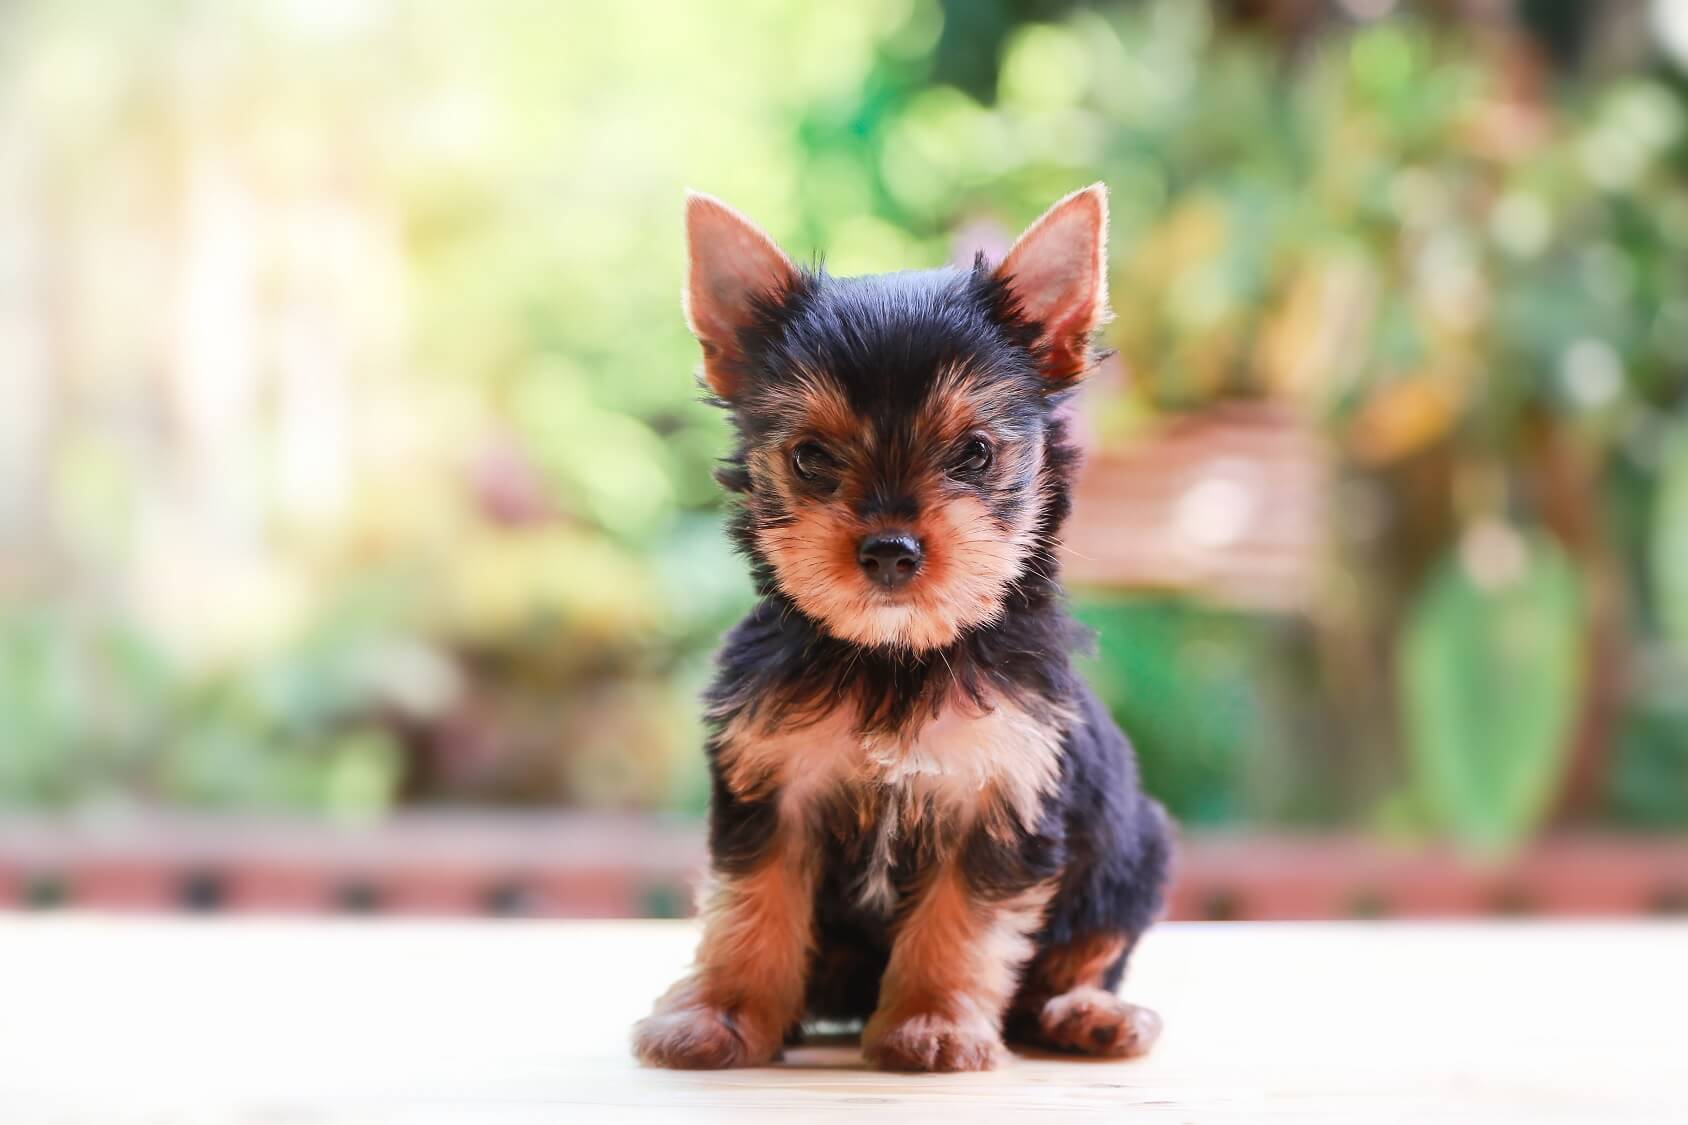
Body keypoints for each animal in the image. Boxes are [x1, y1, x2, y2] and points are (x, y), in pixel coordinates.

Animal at [634, 184, 1174, 1067]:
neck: (895, 655)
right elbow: (752, 905)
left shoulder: (1001, 795)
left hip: (1133, 849)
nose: (890, 549)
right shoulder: (773, 787)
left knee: (1086, 947)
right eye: (811, 457)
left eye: (976, 454)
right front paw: (722, 1014)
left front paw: (931, 1022)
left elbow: (962, 920)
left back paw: (1087, 1012)